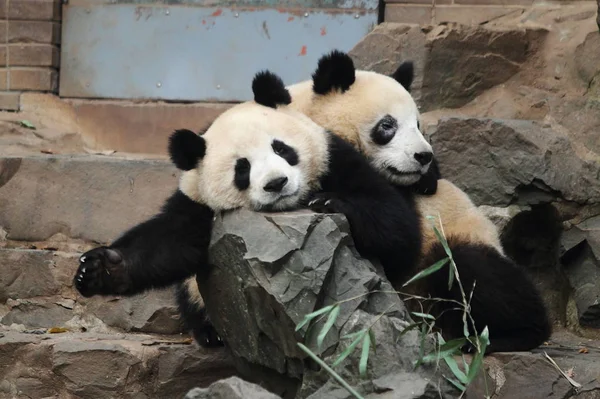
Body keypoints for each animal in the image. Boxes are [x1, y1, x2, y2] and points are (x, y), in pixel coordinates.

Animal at [71, 69, 426, 346]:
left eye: (281, 148)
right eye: (242, 168)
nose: (277, 183)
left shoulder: (335, 157)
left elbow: (398, 225)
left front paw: (331, 201)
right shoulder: (198, 204)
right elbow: (167, 244)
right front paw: (98, 268)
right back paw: (211, 332)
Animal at [282, 50, 552, 354]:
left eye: (419, 124)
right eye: (387, 125)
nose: (424, 156)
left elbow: (399, 231)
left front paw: (330, 202)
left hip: (457, 245)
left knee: (468, 270)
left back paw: (501, 336)